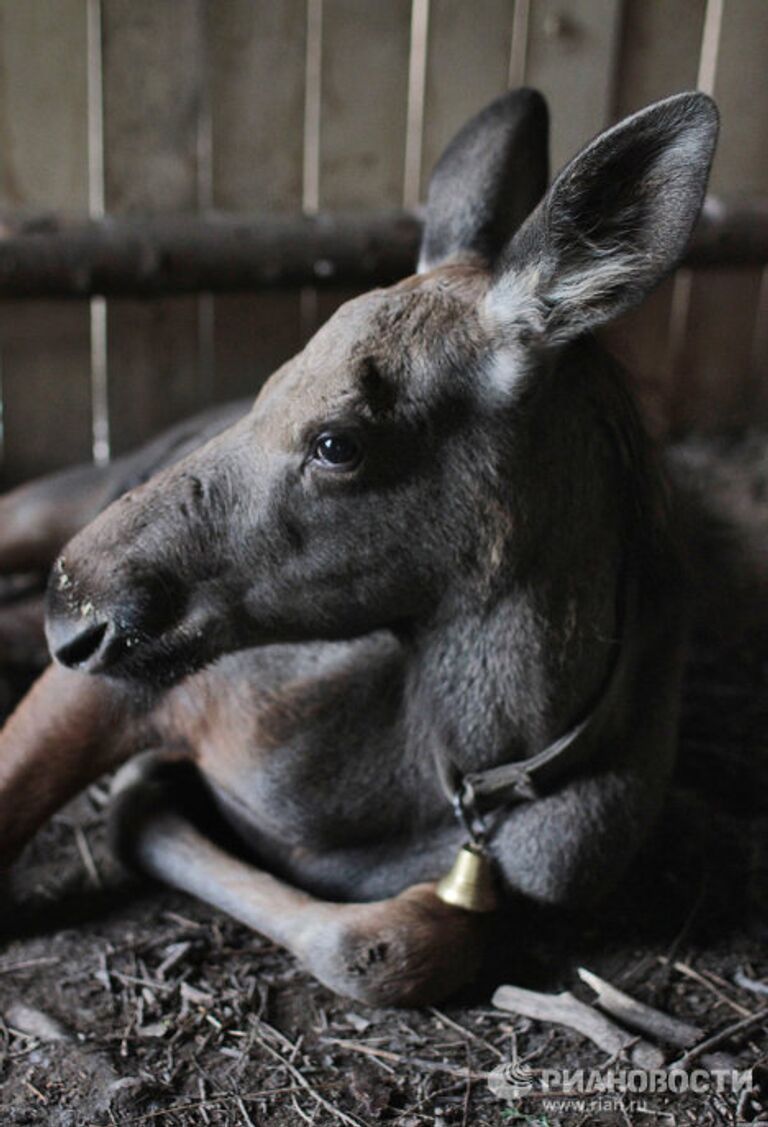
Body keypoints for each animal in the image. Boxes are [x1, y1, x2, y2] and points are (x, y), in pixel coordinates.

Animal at [0, 85, 753, 1005]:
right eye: (267, 389)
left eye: (338, 443)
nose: (74, 609)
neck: (460, 765)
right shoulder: (112, 692)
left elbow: (391, 937)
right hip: (63, 500)